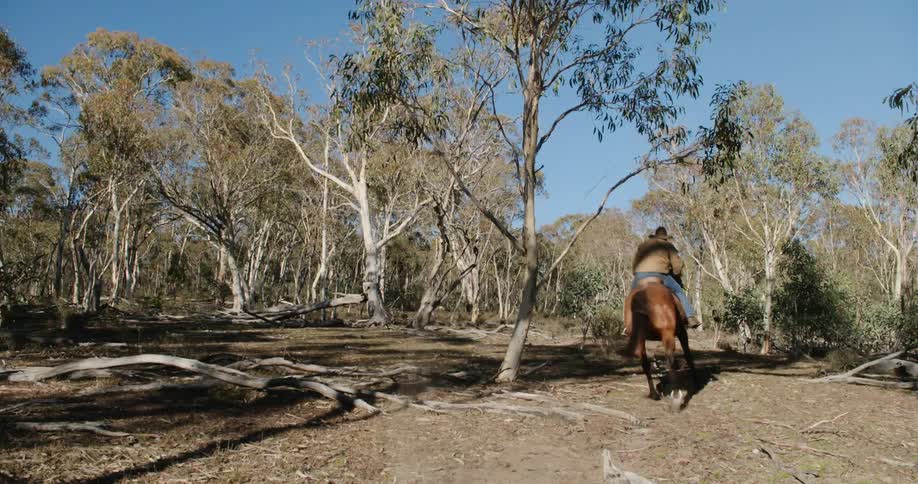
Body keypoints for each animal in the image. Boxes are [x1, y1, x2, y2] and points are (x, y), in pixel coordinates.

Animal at [621, 277, 699, 407]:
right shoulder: (681, 332)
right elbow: (687, 352)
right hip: (667, 333)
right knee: (670, 359)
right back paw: (675, 395)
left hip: (640, 338)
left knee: (645, 363)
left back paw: (654, 394)